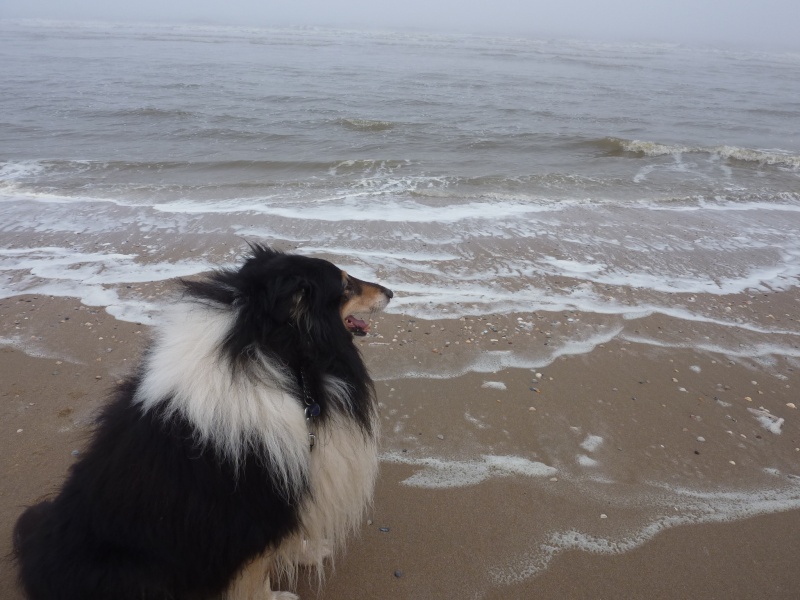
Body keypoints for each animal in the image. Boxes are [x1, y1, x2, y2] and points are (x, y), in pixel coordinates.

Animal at [14, 245, 396, 600]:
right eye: (345, 285)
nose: (391, 292)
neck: (285, 360)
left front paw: (307, 552)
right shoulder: (253, 509)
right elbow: (255, 573)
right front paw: (273, 596)